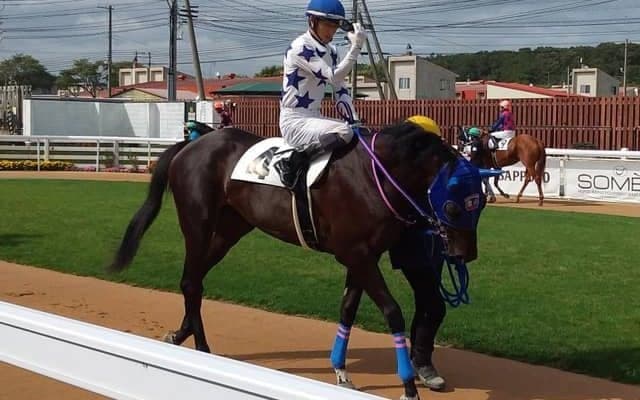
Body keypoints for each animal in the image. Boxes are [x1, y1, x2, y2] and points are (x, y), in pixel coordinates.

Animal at [108, 121, 490, 400]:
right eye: (454, 206)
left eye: (482, 202)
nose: (465, 254)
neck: (374, 175)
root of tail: (192, 144)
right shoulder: (358, 254)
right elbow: (392, 311)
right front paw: (409, 386)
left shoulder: (362, 256)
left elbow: (347, 310)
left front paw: (341, 371)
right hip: (197, 223)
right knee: (191, 279)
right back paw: (202, 349)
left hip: (231, 228)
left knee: (194, 280)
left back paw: (182, 336)